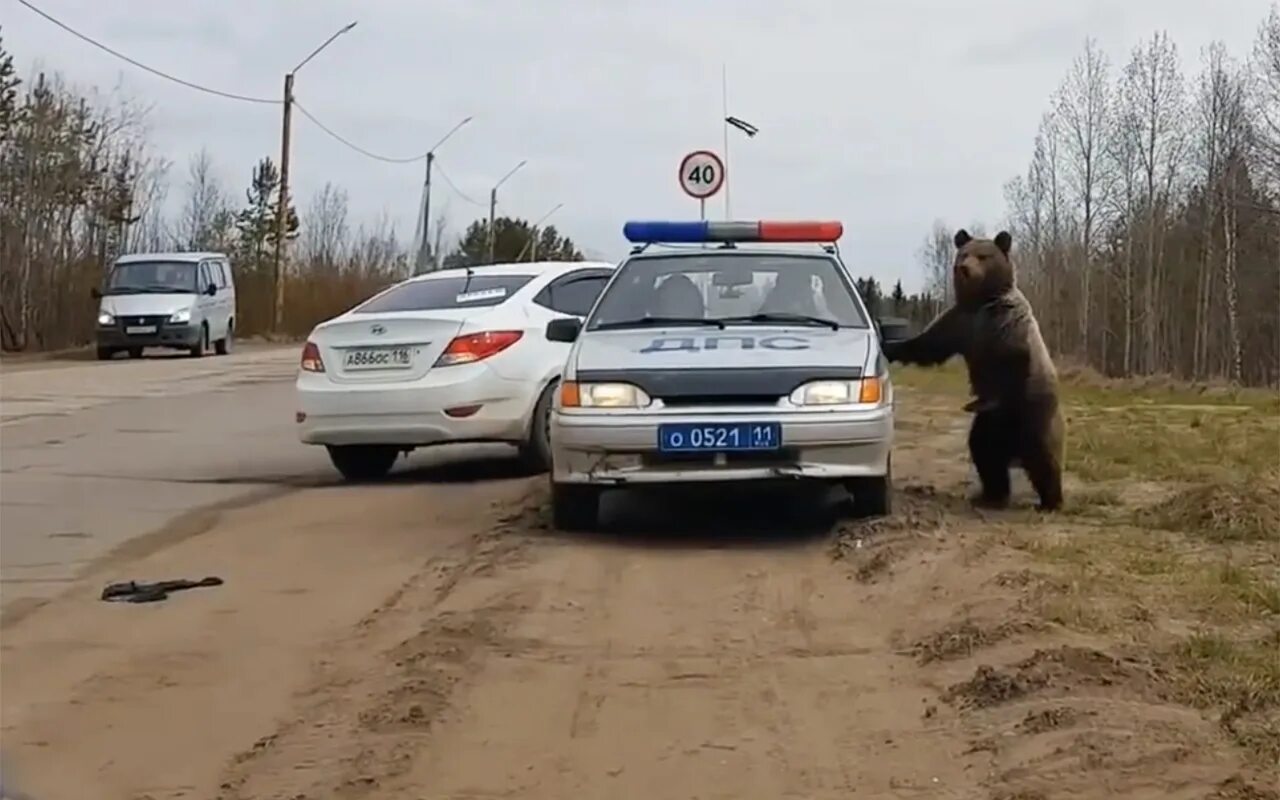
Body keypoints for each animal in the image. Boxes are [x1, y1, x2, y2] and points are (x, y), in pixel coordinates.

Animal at [885, 227, 1064, 512]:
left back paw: (1050, 501)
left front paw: (985, 397)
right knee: (985, 453)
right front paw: (889, 347)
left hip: (1034, 414)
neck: (980, 301)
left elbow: (1010, 362)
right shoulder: (959, 324)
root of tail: (1013, 447)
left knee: (1043, 458)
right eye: (964, 254)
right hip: (989, 426)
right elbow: (927, 346)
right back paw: (991, 495)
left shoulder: (1005, 325)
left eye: (983, 256)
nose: (964, 268)